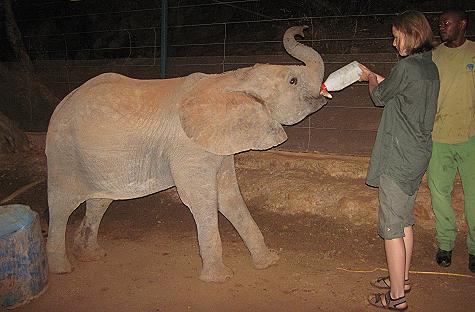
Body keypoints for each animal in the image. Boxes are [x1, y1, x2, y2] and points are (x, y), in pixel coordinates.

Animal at [45, 25, 328, 282]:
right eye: (293, 81)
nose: (303, 29)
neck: (232, 78)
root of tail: (61, 104)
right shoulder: (188, 148)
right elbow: (201, 199)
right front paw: (220, 278)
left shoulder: (218, 143)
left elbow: (229, 196)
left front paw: (268, 262)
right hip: (63, 153)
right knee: (61, 205)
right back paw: (60, 268)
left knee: (100, 200)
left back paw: (90, 255)